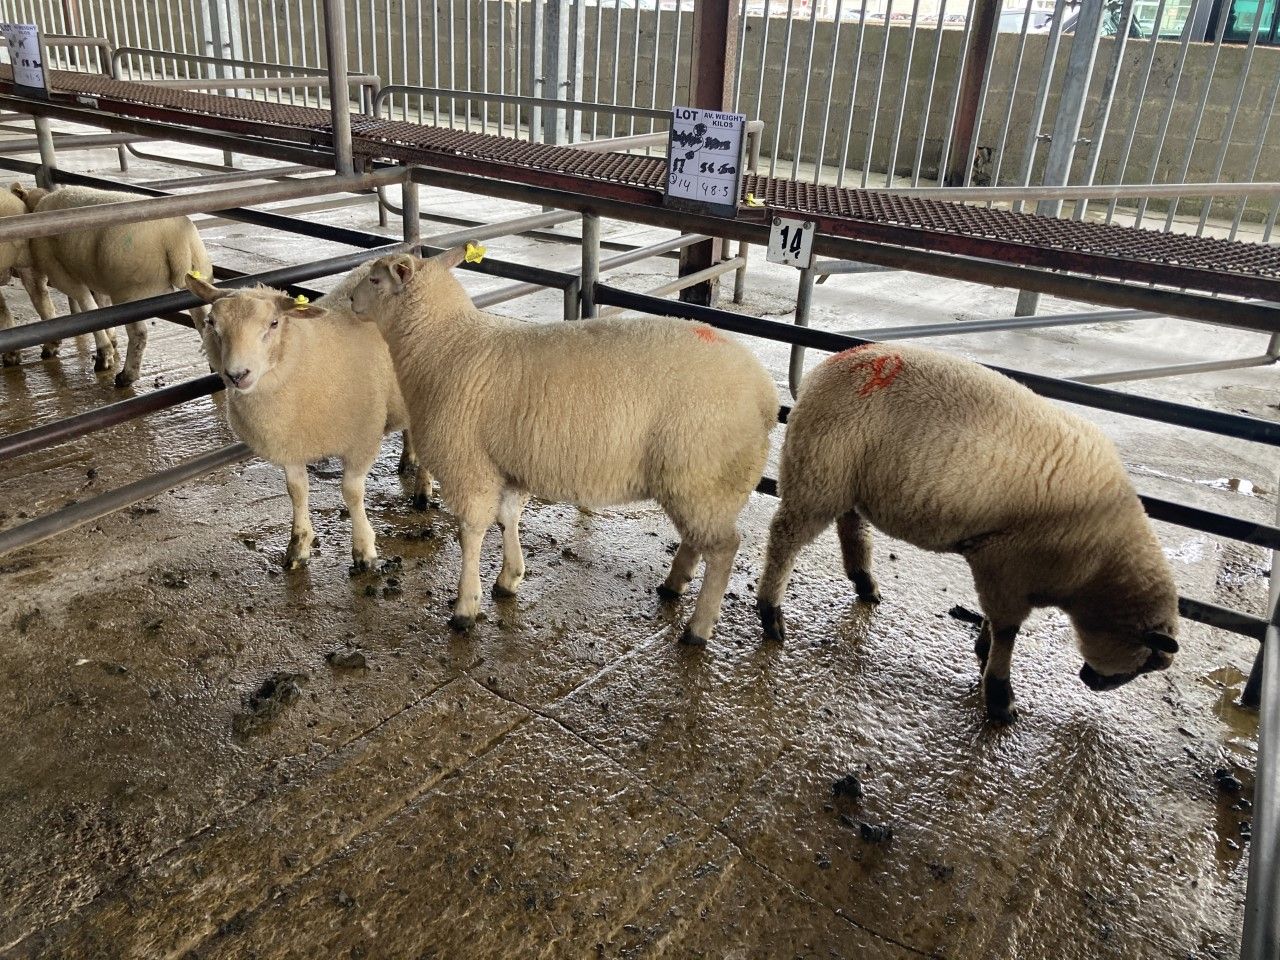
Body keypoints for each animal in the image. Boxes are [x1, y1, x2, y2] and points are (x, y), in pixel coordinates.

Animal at [13, 183, 213, 388]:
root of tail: (176, 240)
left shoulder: (60, 273)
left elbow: (86, 306)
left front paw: (103, 354)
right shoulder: (100, 277)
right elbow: (102, 308)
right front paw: (112, 339)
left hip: (129, 291)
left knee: (139, 334)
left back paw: (126, 376)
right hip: (195, 279)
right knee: (203, 324)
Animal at [185, 273, 431, 572]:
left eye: (274, 323)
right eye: (212, 323)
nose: (237, 375)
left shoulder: (362, 438)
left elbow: (352, 492)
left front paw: (364, 550)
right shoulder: (291, 443)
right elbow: (297, 491)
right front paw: (298, 547)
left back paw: (423, 491)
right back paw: (409, 459)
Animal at [347, 245, 778, 645]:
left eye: (375, 280)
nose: (350, 300)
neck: (443, 345)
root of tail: (766, 393)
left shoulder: (468, 465)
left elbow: (471, 533)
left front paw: (465, 607)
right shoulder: (507, 464)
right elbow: (508, 518)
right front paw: (510, 577)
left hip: (703, 475)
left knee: (724, 548)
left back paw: (699, 628)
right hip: (698, 482)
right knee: (699, 538)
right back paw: (674, 583)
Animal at [756, 342, 1180, 724]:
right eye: (1148, 662)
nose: (1092, 682)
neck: (1097, 571)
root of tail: (824, 370)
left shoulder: (1006, 568)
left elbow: (996, 622)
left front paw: (984, 650)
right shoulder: (1006, 564)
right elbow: (1008, 631)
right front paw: (1000, 696)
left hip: (846, 478)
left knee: (851, 524)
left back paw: (864, 581)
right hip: (819, 472)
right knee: (784, 538)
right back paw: (771, 613)